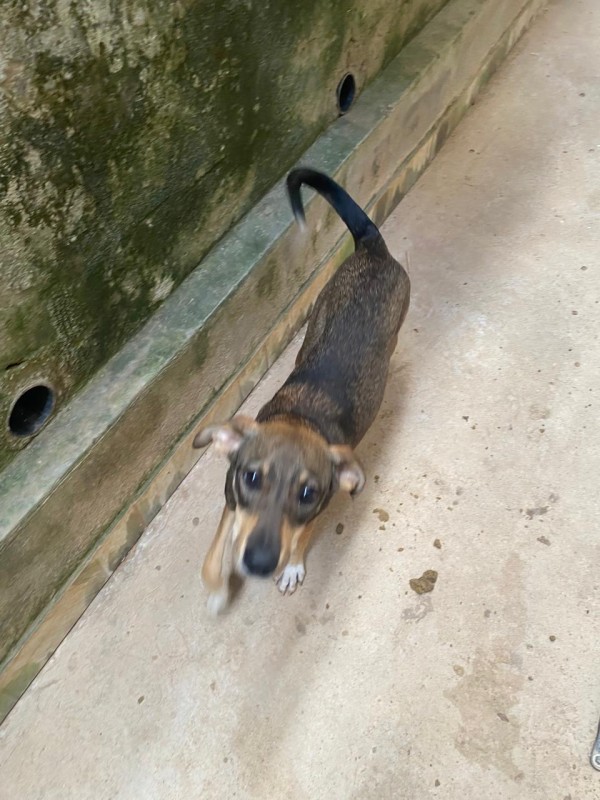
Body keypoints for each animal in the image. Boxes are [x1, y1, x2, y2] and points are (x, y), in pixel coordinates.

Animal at [195, 169, 410, 616]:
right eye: (252, 476)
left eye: (307, 493)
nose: (259, 563)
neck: (300, 420)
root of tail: (373, 247)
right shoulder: (231, 500)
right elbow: (213, 557)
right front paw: (219, 589)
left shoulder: (314, 512)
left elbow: (300, 537)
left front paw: (291, 567)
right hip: (319, 313)